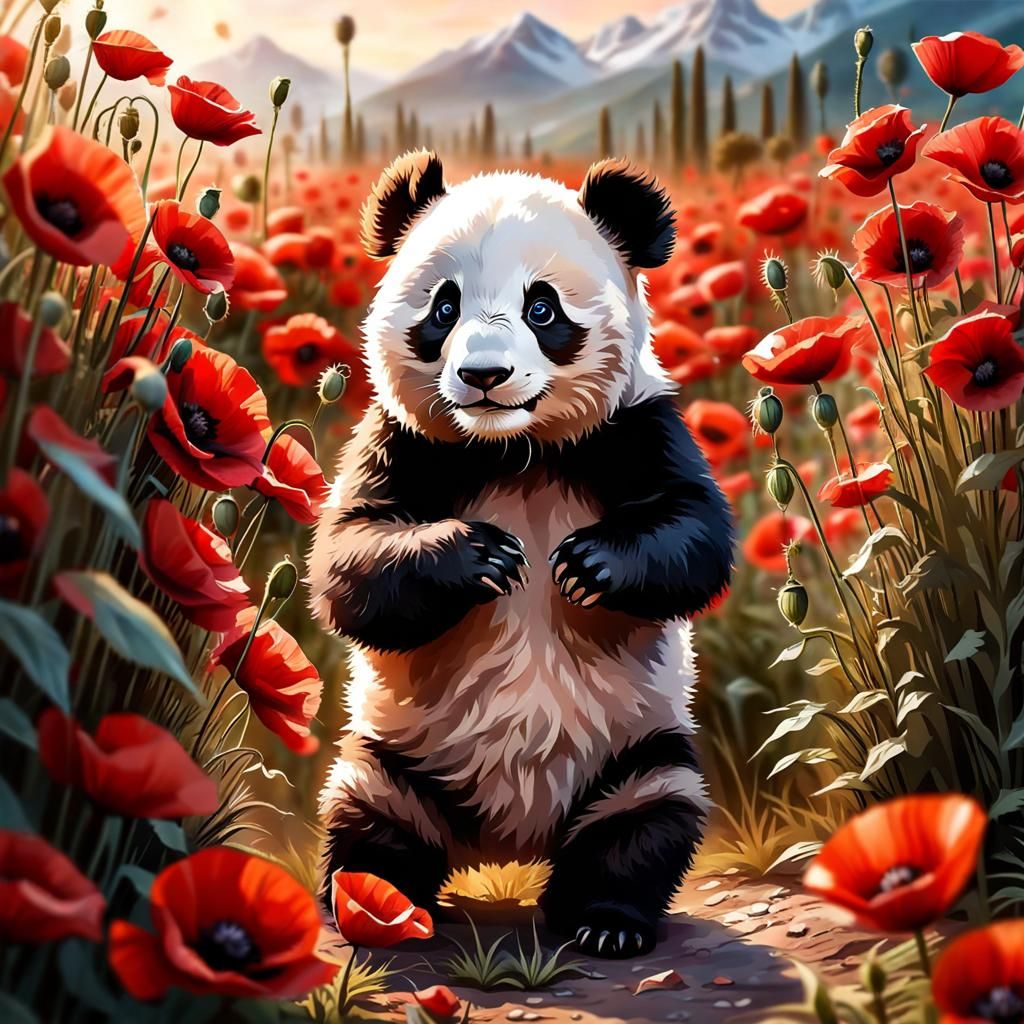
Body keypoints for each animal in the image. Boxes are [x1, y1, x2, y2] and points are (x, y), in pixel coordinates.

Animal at [307, 150, 734, 960]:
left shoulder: (636, 428)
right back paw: (375, 905)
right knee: (371, 818)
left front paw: (585, 565)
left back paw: (605, 919)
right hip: (391, 759)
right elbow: (351, 560)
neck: (515, 452)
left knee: (646, 819)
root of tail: (507, 843)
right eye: (443, 308)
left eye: (543, 309)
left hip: (634, 752)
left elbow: (696, 532)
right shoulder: (402, 443)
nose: (483, 376)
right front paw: (484, 557)